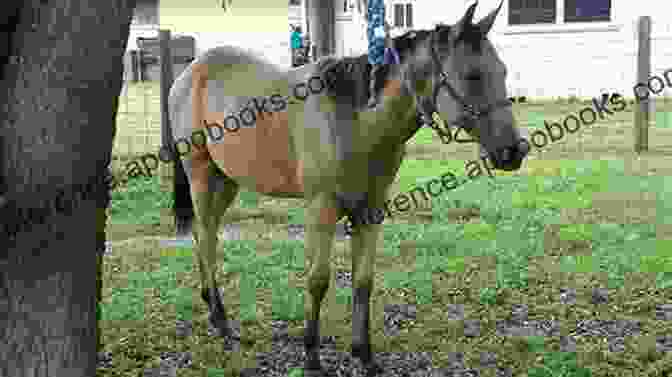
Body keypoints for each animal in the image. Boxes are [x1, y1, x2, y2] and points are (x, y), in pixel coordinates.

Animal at [165, 1, 528, 374]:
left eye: (502, 71)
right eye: (472, 75)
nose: (515, 150)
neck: (357, 121)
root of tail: (190, 72)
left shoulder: (371, 210)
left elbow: (363, 281)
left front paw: (364, 353)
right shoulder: (321, 208)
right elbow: (318, 280)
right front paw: (311, 355)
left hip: (226, 180)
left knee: (204, 234)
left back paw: (212, 308)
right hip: (201, 176)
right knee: (206, 237)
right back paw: (221, 321)